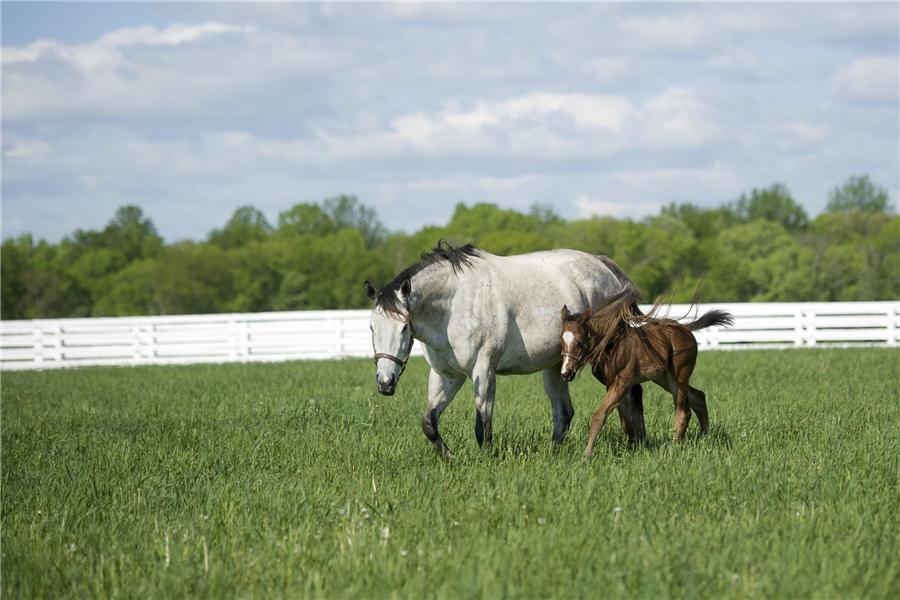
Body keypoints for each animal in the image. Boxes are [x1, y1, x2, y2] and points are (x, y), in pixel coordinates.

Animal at [364, 241, 647, 457]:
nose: (385, 382)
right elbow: (429, 422)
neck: (456, 304)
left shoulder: (484, 370)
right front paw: (449, 456)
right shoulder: (446, 375)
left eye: (404, 327)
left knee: (629, 395)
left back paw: (637, 444)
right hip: (557, 365)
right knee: (565, 412)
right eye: (371, 327)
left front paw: (485, 459)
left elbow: (483, 425)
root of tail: (605, 267)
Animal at [559, 287, 733, 460]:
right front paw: (635, 448)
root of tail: (685, 329)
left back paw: (673, 448)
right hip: (664, 378)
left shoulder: (622, 383)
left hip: (679, 377)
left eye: (579, 341)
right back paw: (705, 438)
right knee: (699, 397)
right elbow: (627, 420)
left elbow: (600, 416)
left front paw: (586, 456)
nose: (566, 372)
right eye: (561, 340)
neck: (611, 347)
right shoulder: (612, 385)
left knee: (684, 411)